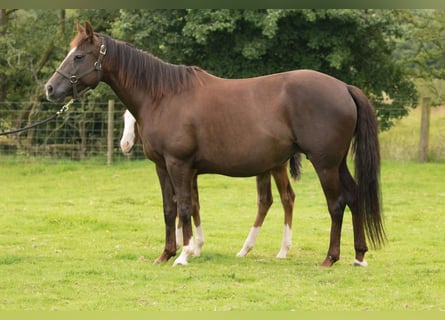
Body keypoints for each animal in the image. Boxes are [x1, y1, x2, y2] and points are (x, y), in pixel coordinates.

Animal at [119, 109, 298, 258]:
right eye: (124, 118)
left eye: (135, 121)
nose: (124, 145)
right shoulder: (191, 175)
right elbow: (187, 204)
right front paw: (185, 244)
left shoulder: (187, 173)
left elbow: (190, 205)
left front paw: (193, 247)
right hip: (264, 170)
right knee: (265, 200)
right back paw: (245, 249)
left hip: (277, 168)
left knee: (287, 198)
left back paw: (283, 250)